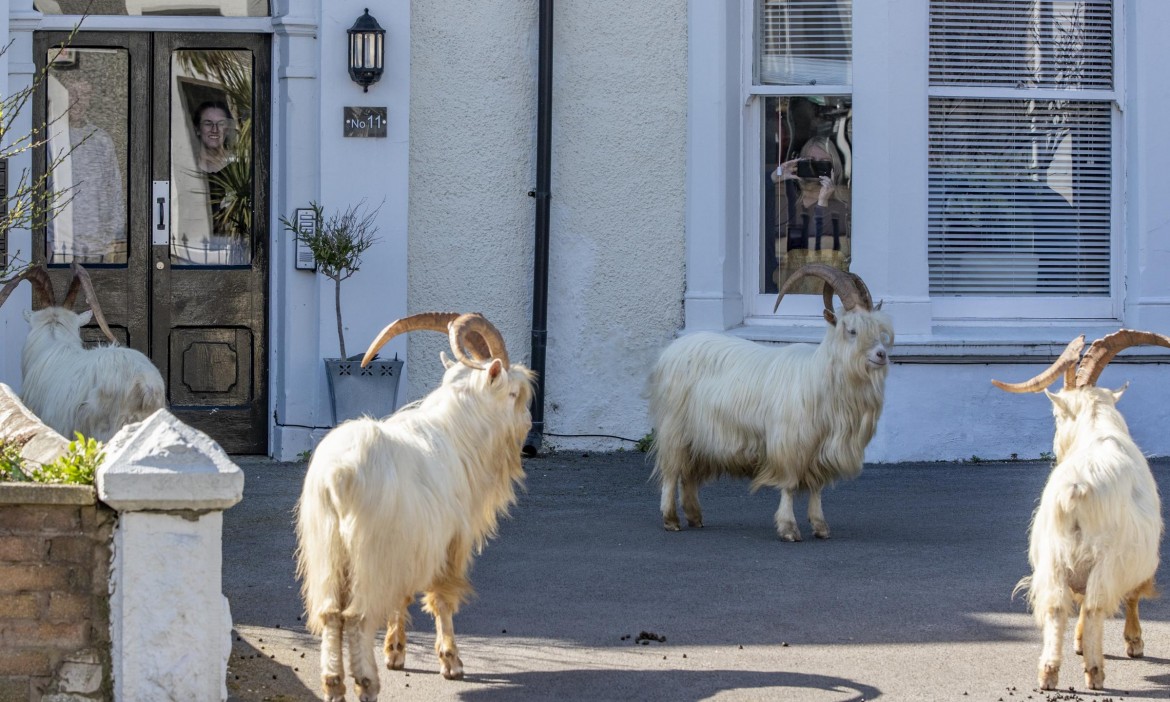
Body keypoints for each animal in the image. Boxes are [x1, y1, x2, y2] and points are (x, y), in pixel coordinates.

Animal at [294, 313, 533, 702]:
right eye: (512, 394)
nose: (527, 423)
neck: (457, 434)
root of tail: (339, 475)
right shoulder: (448, 541)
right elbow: (442, 598)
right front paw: (451, 663)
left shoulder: (408, 546)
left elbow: (401, 596)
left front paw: (395, 652)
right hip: (367, 552)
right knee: (357, 616)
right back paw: (366, 683)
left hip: (327, 548)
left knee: (330, 613)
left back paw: (333, 684)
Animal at [645, 263, 889, 542]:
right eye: (852, 331)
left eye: (878, 330)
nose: (881, 355)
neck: (817, 378)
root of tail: (670, 351)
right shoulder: (789, 444)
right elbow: (789, 485)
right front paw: (789, 528)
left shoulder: (817, 449)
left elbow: (816, 487)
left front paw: (820, 526)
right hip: (674, 427)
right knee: (671, 471)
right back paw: (671, 519)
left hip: (699, 438)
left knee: (688, 474)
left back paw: (695, 517)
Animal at [992, 329, 1165, 692]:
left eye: (1058, 417)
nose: (1058, 448)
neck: (1099, 428)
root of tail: (1077, 488)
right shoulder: (1138, 555)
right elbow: (1131, 596)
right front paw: (1134, 642)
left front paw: (1079, 644)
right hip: (1106, 557)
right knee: (1097, 604)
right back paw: (1095, 673)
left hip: (1052, 556)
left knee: (1057, 607)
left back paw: (1048, 672)